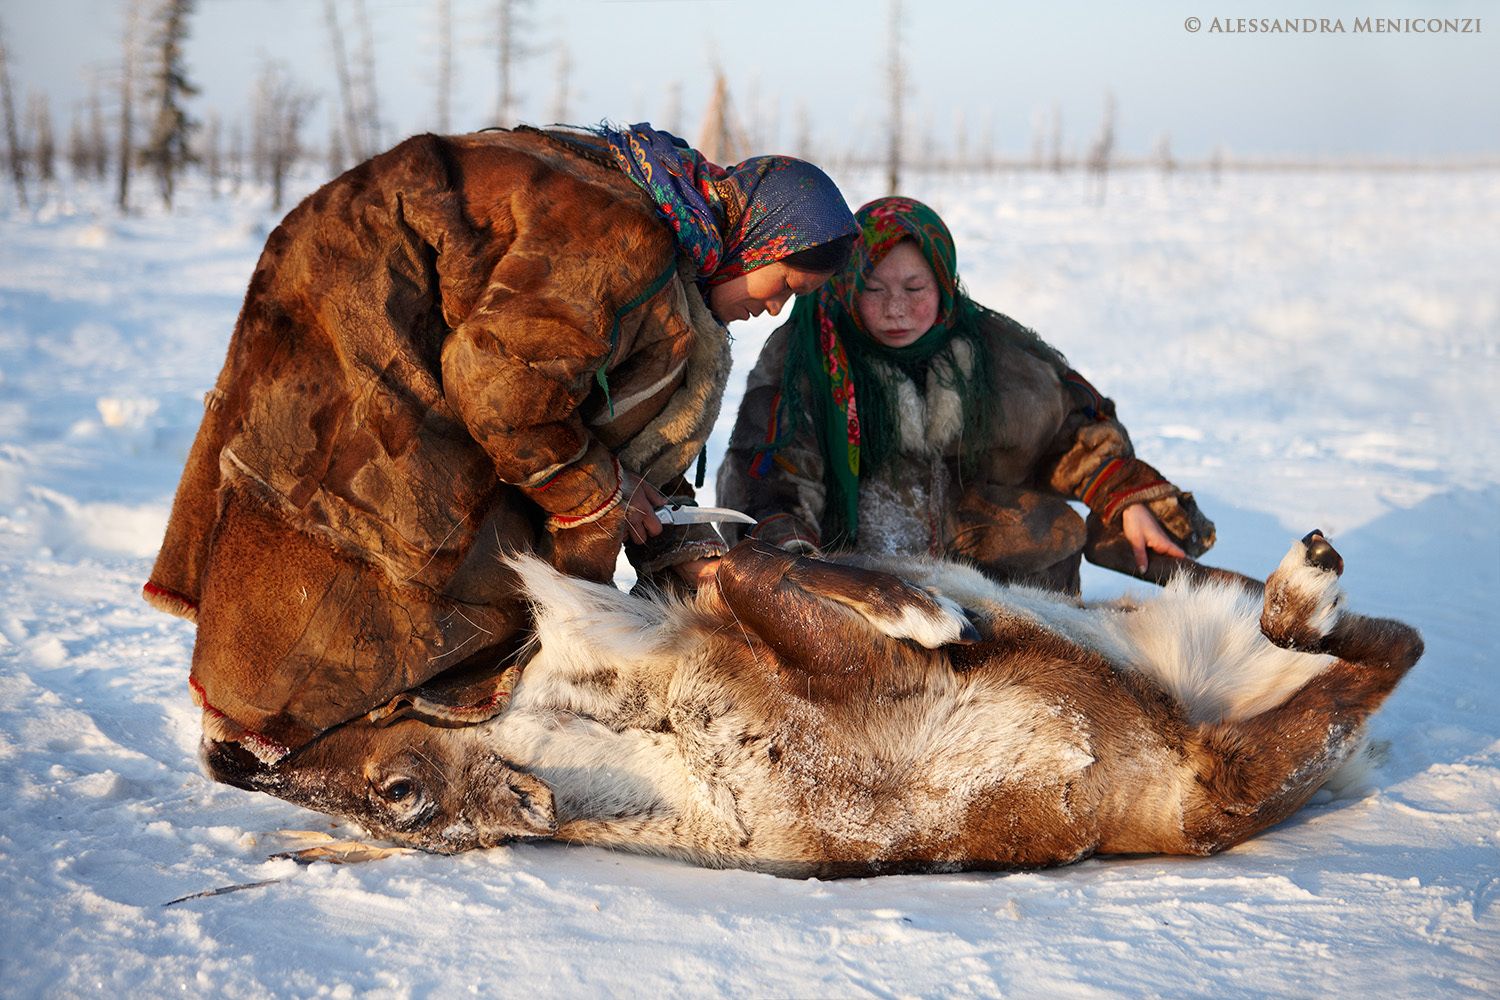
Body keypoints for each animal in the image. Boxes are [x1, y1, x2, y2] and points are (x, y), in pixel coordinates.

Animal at [202, 531, 1422, 878]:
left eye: (395, 791)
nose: (237, 762)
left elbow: (747, 556)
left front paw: (927, 603)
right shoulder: (818, 670)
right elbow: (763, 569)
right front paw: (928, 613)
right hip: (1233, 776)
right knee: (1385, 649)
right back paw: (1306, 590)